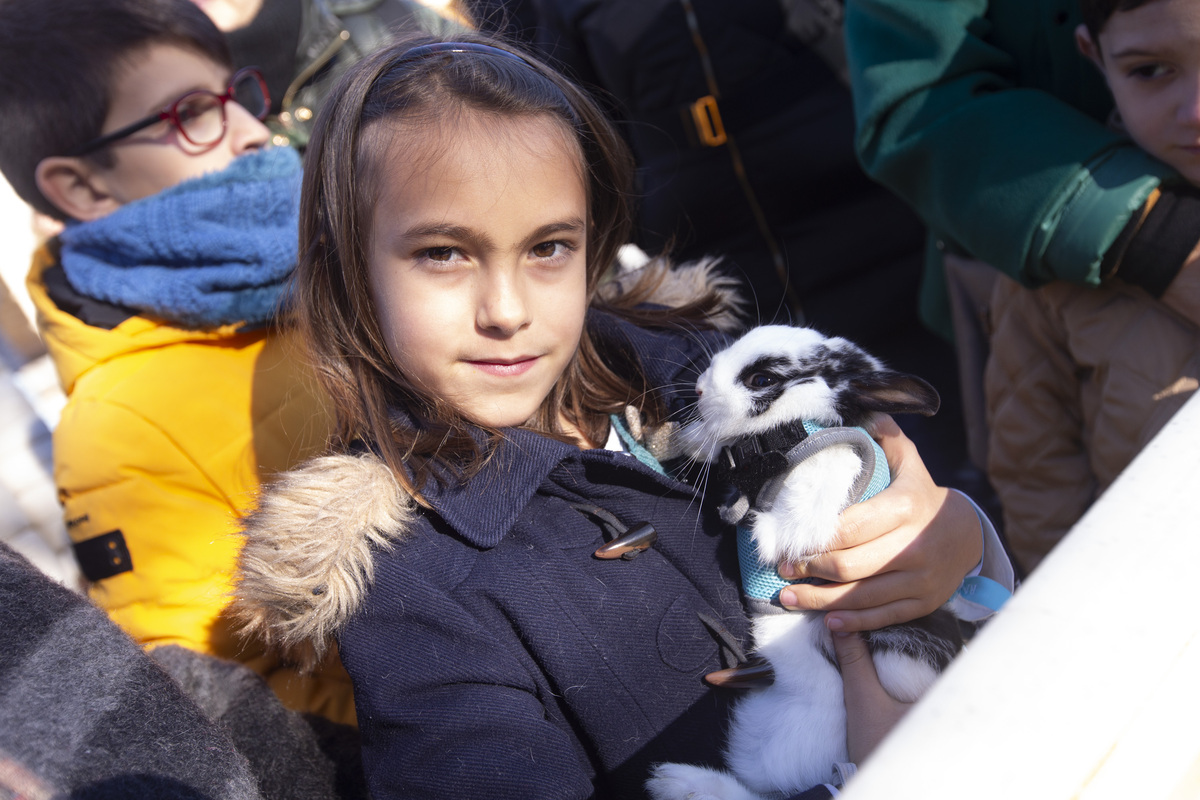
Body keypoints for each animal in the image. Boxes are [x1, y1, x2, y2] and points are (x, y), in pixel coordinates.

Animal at [648, 326, 964, 800]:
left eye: (762, 380)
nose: (699, 388)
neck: (779, 438)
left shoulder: (840, 447)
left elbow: (836, 460)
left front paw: (783, 535)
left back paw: (677, 780)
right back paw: (676, 780)